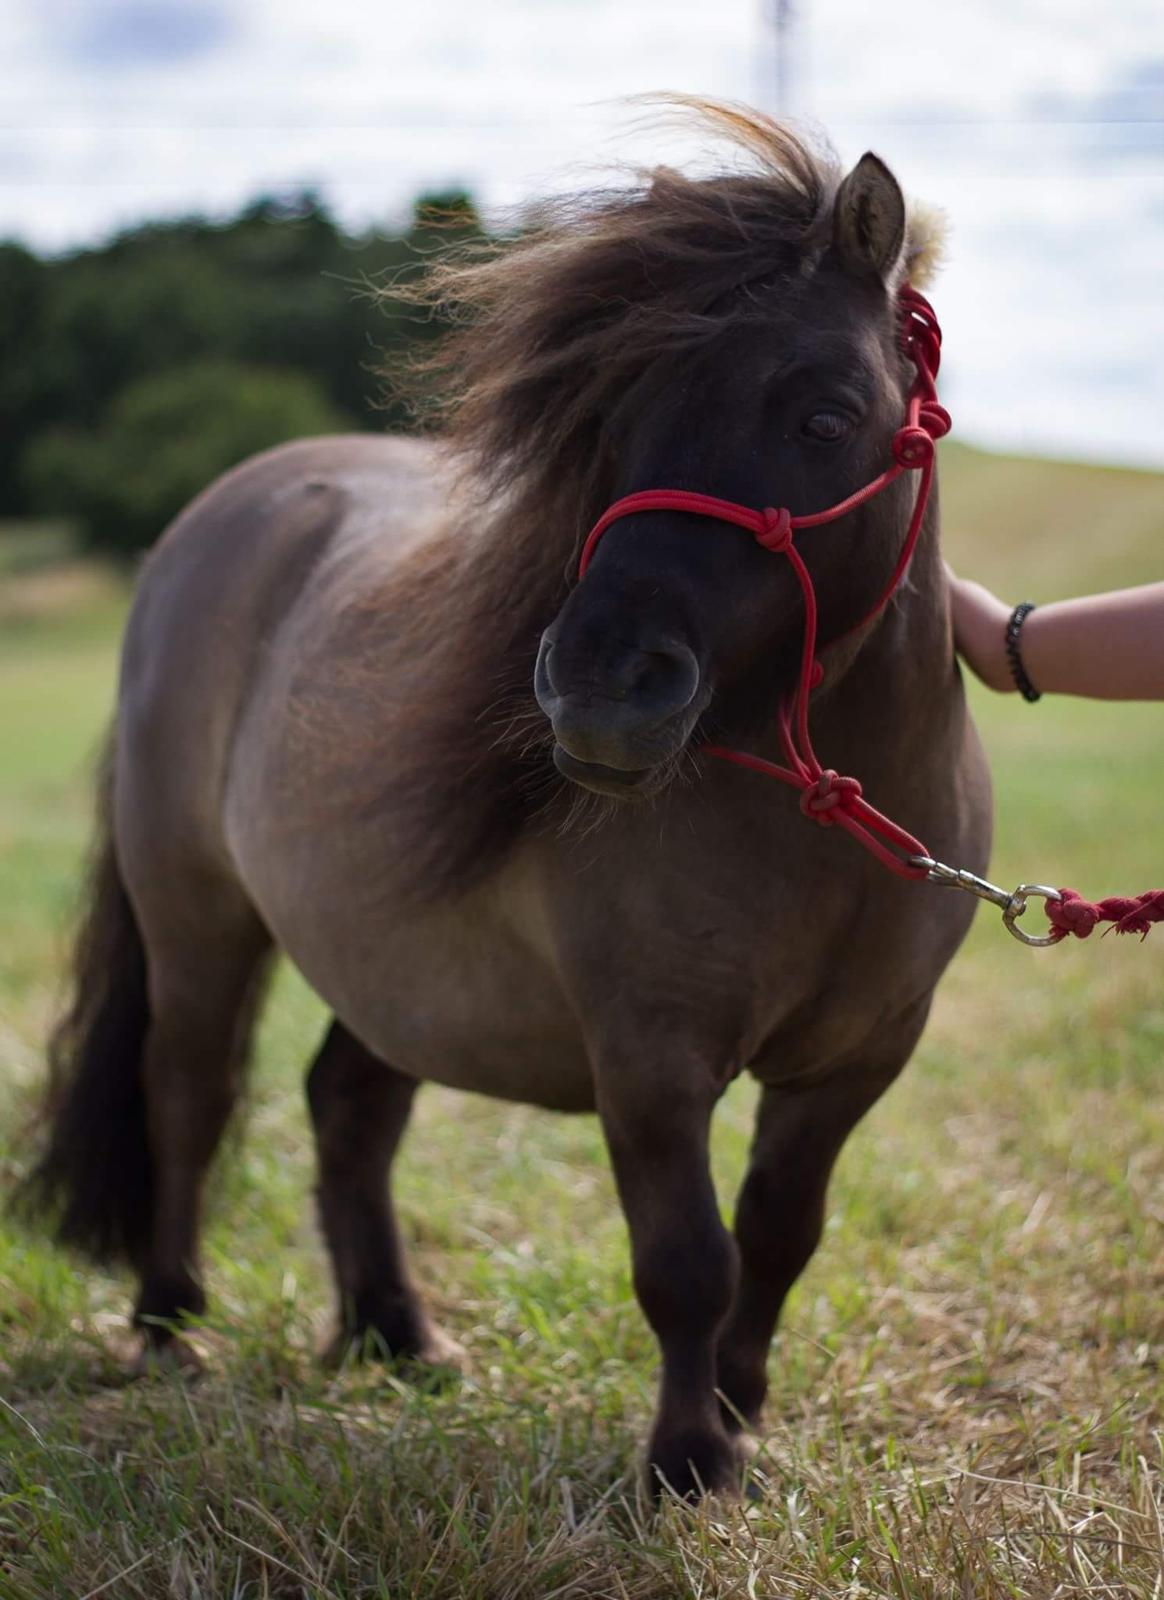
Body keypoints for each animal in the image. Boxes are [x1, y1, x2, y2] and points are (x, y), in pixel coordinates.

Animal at [22, 106, 991, 1491]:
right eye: (614, 419)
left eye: (826, 414)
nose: (597, 688)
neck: (818, 822)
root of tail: (218, 515)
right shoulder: (648, 1058)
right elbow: (688, 1261)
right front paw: (687, 1459)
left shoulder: (856, 1063)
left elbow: (780, 1233)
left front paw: (742, 1408)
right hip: (197, 916)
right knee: (187, 1094)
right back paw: (169, 1326)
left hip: (390, 957)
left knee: (349, 1108)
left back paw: (394, 1332)